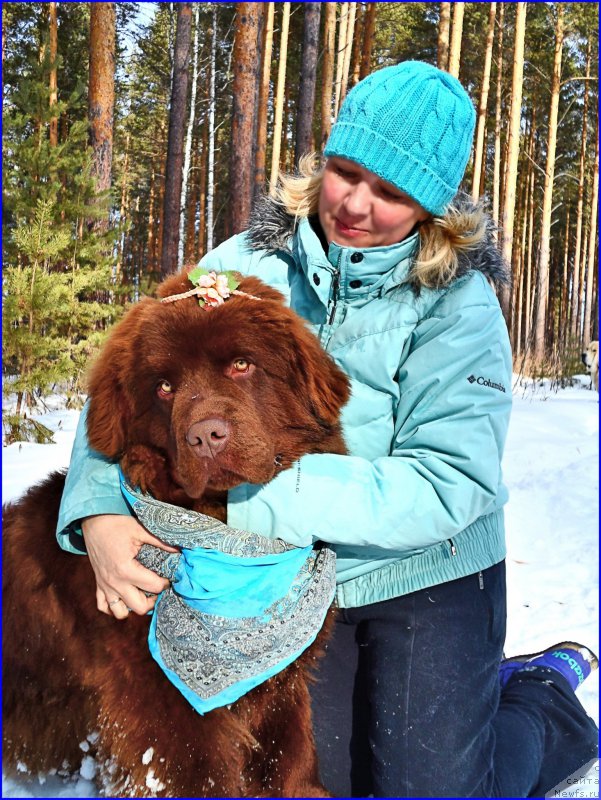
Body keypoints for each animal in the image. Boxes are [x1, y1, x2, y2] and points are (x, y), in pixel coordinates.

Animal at [1, 272, 346, 796]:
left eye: (242, 364)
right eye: (165, 386)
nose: (206, 436)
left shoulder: (280, 687)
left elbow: (292, 760)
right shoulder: (161, 708)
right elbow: (195, 774)